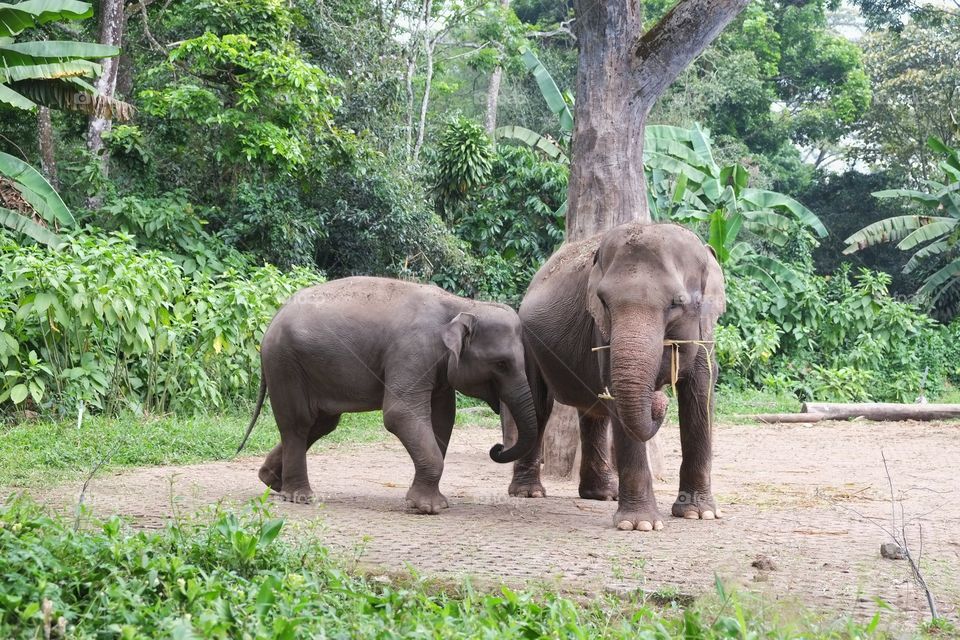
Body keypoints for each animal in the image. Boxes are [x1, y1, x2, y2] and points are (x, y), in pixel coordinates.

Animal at [237, 278, 540, 512]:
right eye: (501, 364)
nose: (496, 448)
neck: (461, 305)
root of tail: (272, 319)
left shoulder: (437, 368)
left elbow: (443, 419)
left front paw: (434, 502)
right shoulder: (412, 351)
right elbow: (400, 414)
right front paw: (427, 508)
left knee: (321, 424)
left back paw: (270, 481)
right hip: (285, 364)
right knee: (299, 424)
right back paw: (300, 497)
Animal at [506, 221, 724, 528]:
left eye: (676, 302)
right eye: (603, 301)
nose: (659, 401)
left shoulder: (705, 330)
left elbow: (700, 394)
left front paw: (698, 513)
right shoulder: (602, 329)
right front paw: (640, 524)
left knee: (593, 411)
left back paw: (602, 494)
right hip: (528, 343)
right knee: (539, 406)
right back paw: (529, 493)